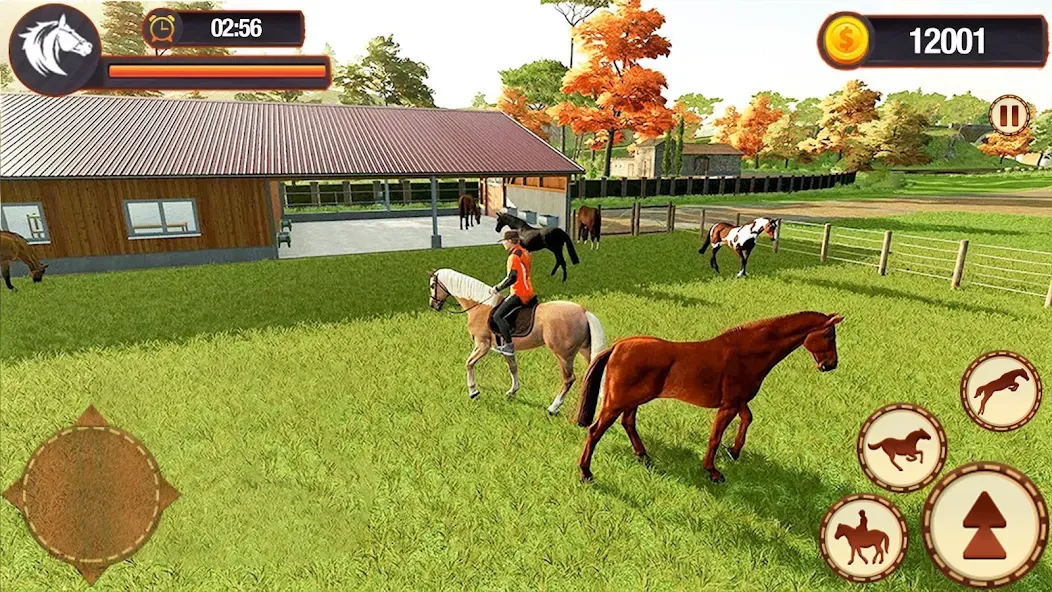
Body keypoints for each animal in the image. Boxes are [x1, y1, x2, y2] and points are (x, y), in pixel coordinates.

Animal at [429, 268, 606, 415]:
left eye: (432, 285)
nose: (433, 305)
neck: (480, 306)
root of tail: (583, 311)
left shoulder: (482, 345)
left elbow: (469, 363)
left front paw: (473, 392)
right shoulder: (504, 347)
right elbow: (512, 367)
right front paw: (512, 391)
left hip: (563, 355)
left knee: (569, 379)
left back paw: (553, 408)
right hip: (585, 350)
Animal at [574, 311, 843, 483]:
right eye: (829, 335)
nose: (830, 365)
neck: (748, 353)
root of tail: (618, 347)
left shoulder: (737, 402)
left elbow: (747, 419)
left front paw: (733, 452)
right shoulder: (728, 406)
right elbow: (715, 437)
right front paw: (713, 472)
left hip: (634, 400)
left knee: (628, 422)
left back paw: (644, 457)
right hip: (617, 401)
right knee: (596, 430)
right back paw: (586, 473)